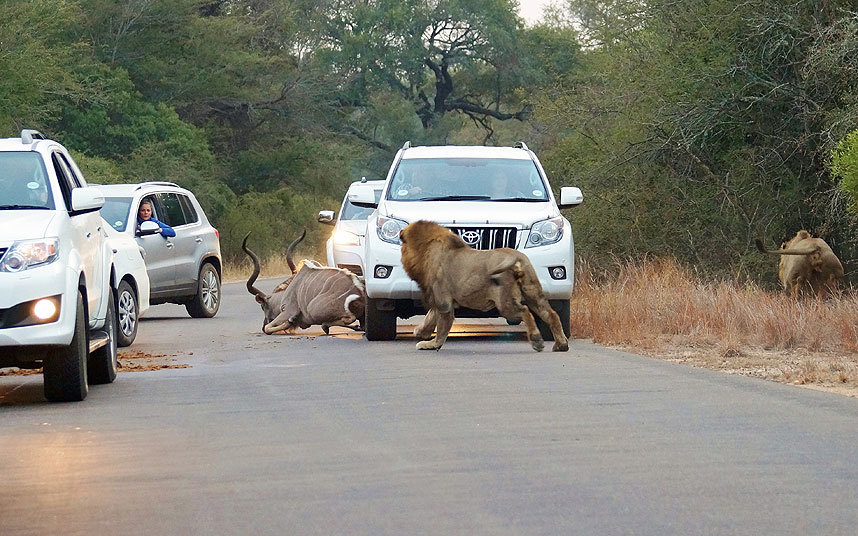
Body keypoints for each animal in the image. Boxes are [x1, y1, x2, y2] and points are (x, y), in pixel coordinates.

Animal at [400, 219, 568, 352]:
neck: (426, 249)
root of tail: (515, 256)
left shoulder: (443, 301)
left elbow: (441, 327)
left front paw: (432, 344)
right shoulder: (443, 300)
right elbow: (430, 317)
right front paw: (420, 332)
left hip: (505, 303)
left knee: (526, 311)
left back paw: (537, 341)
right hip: (533, 293)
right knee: (551, 314)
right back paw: (561, 345)